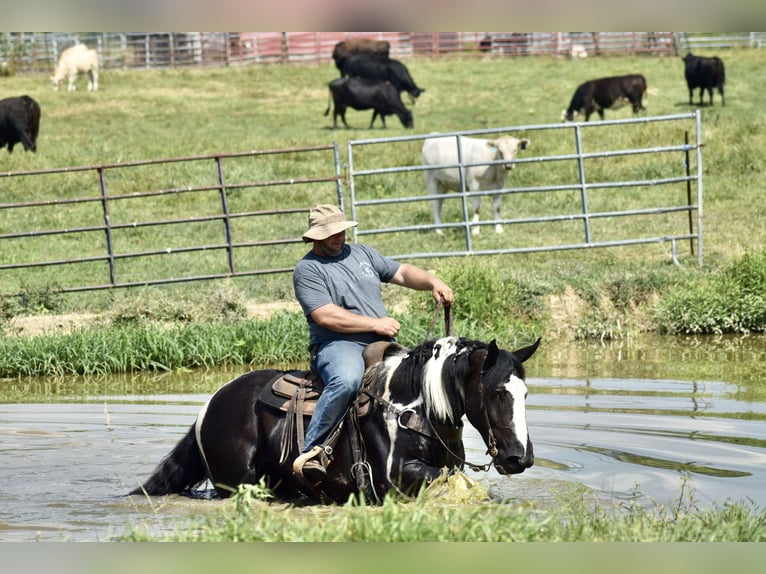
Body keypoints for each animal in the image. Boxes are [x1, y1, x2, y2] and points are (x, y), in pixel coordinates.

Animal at [130, 338, 540, 504]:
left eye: (524, 394)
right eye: (497, 393)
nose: (519, 458)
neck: (412, 408)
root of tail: (212, 403)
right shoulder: (396, 477)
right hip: (238, 483)